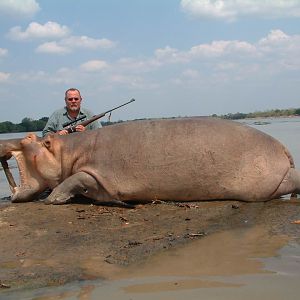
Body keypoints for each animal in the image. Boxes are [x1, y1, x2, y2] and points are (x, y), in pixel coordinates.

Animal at [0, 118, 300, 206]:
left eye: (28, 137)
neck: (66, 150)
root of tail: (283, 146)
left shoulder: (94, 171)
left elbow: (74, 178)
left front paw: (52, 200)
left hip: (269, 179)